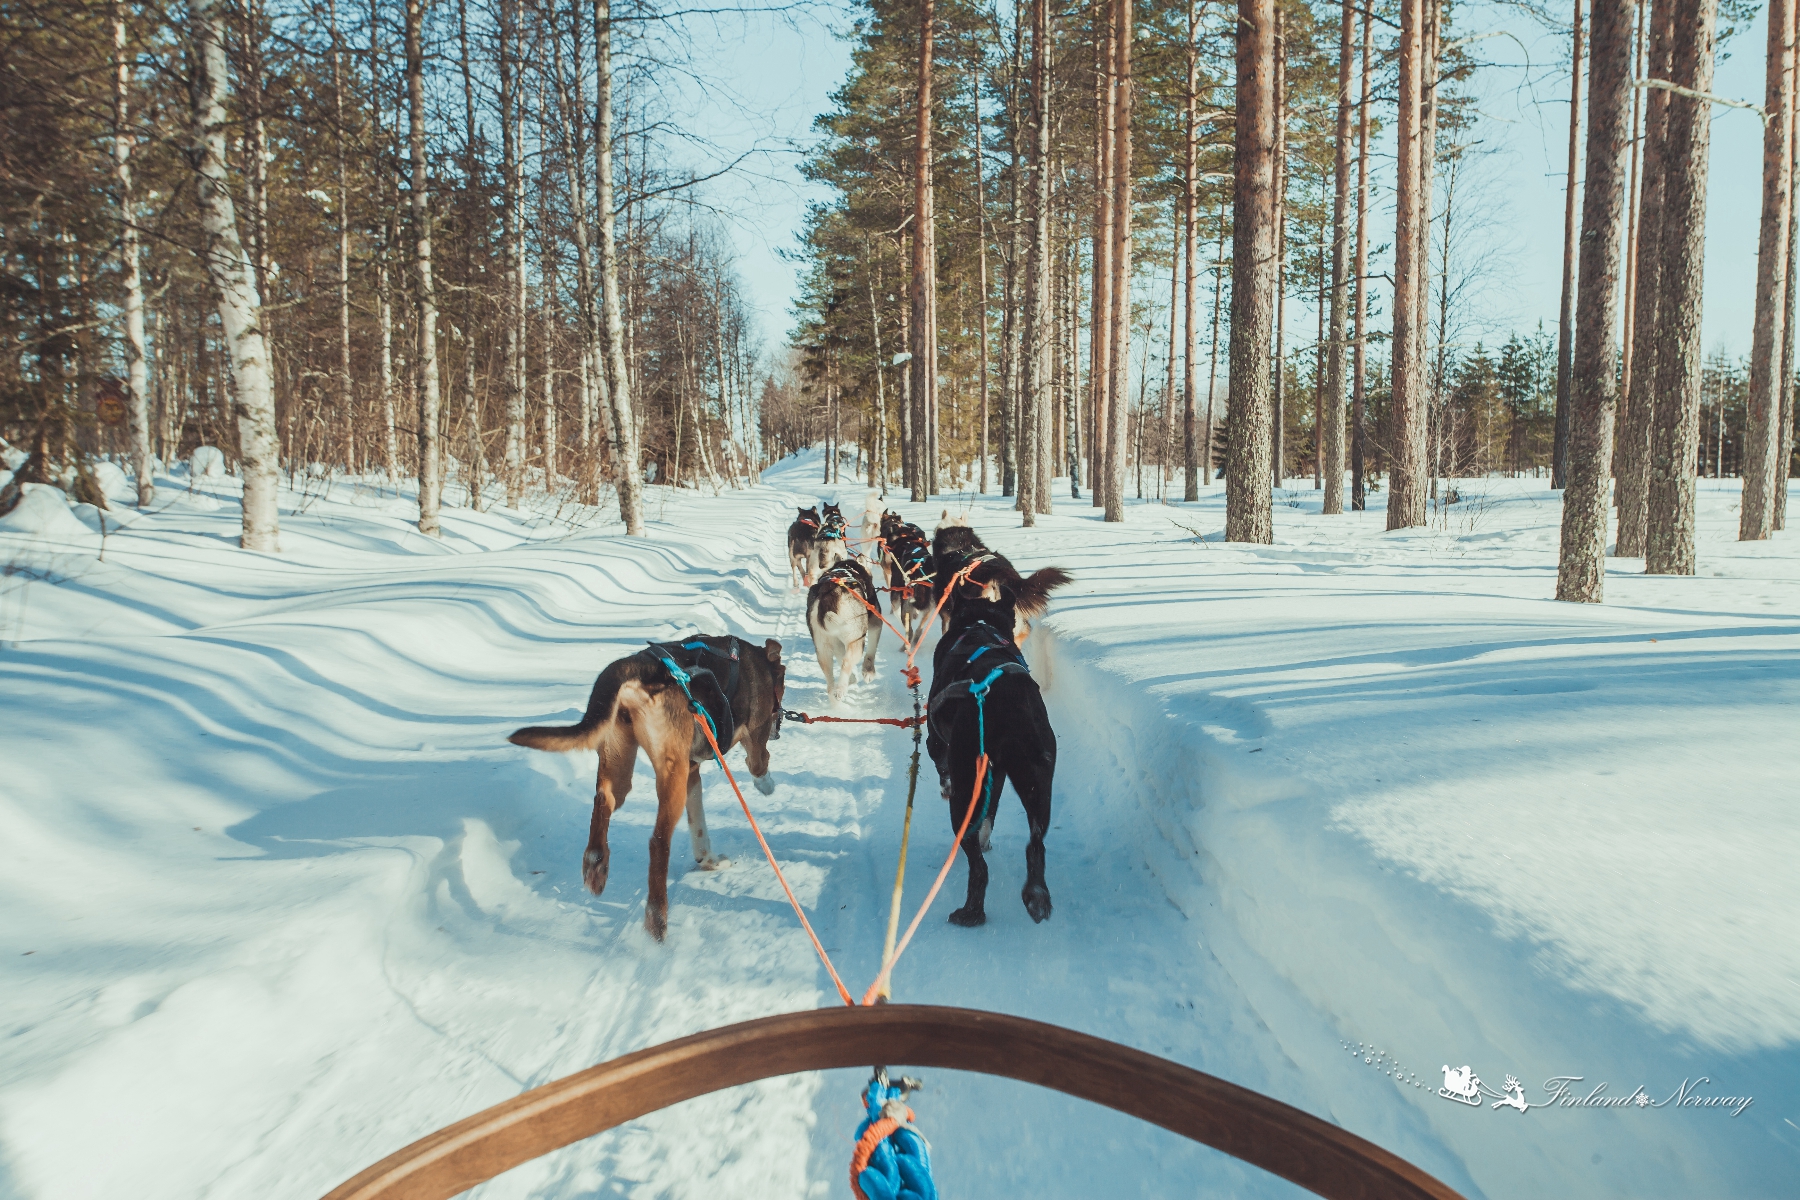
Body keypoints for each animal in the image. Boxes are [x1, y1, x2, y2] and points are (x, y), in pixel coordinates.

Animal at [511, 644, 784, 942]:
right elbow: (759, 763)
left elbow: (699, 827)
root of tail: (636, 665)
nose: (778, 729)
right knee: (658, 842)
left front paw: (708, 861)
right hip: (671, 777)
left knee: (603, 800)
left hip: (620, 762)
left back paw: (596, 866)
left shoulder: (692, 774)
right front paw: (767, 785)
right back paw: (657, 919)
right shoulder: (752, 739)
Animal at [806, 561, 882, 708]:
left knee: (830, 686)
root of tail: (826, 595)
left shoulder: (837, 643)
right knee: (847, 662)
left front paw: (853, 678)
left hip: (823, 649)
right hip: (856, 639)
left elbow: (840, 656)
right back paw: (841, 689)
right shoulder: (875, 622)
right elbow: (871, 652)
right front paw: (868, 672)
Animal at [928, 582, 1051, 928]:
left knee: (978, 865)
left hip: (966, 787)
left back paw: (971, 912)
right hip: (1036, 782)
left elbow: (940, 765)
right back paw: (1037, 896)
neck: (979, 625)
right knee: (1035, 843)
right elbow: (991, 814)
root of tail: (1006, 699)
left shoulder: (937, 745)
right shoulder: (996, 775)